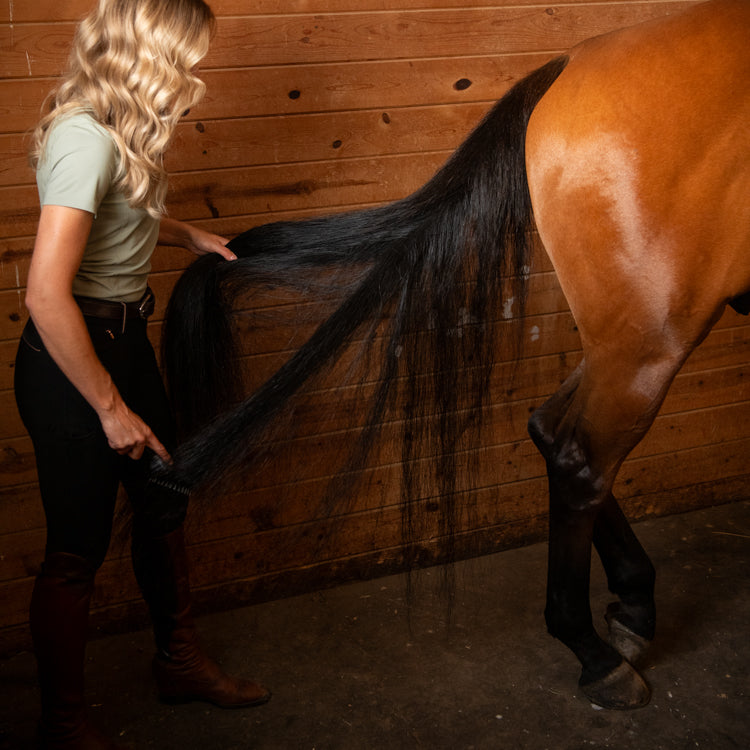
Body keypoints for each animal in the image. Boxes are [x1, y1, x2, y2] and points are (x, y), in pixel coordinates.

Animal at [160, 0, 750, 712]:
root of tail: (570, 65)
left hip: (622, 338)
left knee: (550, 430)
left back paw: (632, 607)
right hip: (648, 338)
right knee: (581, 460)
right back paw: (596, 652)